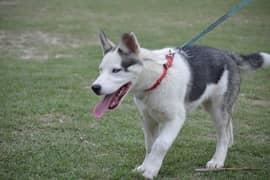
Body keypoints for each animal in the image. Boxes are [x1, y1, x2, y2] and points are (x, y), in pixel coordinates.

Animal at [91, 32, 270, 179]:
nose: (95, 87)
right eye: (100, 70)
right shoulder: (148, 120)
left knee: (222, 134)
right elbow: (150, 145)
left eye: (116, 70)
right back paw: (228, 146)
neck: (156, 79)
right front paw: (144, 166)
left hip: (217, 109)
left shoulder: (175, 119)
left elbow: (160, 144)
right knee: (228, 125)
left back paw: (218, 160)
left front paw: (151, 170)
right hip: (211, 105)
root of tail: (227, 54)